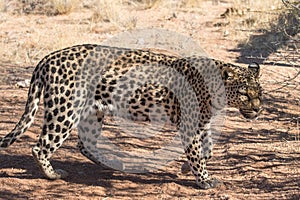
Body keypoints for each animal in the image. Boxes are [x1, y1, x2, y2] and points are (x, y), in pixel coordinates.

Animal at [0, 43, 262, 189]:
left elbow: (207, 148)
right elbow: (197, 152)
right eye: (244, 94)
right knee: (40, 147)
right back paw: (53, 175)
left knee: (85, 144)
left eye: (259, 93)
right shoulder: (190, 124)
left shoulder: (202, 123)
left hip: (93, 112)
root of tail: (48, 57)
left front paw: (191, 168)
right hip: (65, 110)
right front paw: (203, 180)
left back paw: (113, 163)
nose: (258, 109)